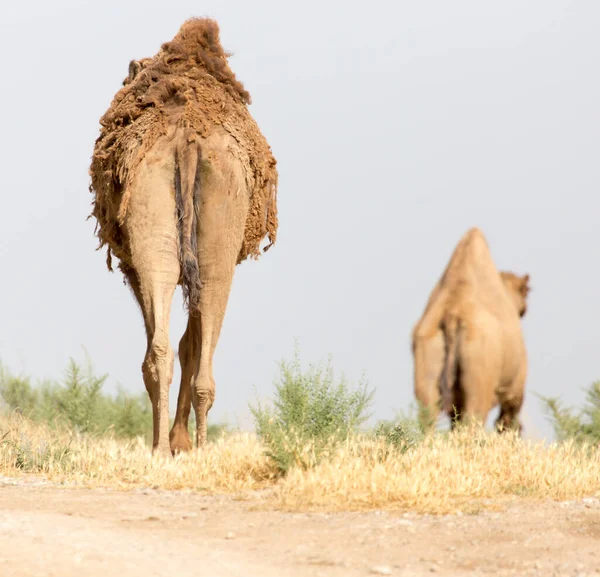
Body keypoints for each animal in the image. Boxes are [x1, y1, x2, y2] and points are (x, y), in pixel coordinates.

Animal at [89, 20, 278, 456]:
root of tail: (188, 138)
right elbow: (189, 342)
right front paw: (178, 440)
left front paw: (176, 440)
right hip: (210, 235)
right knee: (194, 344)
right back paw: (189, 446)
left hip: (160, 224)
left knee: (165, 347)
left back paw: (167, 446)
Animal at [412, 227, 528, 434]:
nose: (523, 309)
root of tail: (452, 313)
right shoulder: (516, 384)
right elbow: (508, 418)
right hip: (480, 372)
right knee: (474, 419)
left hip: (428, 357)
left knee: (428, 417)